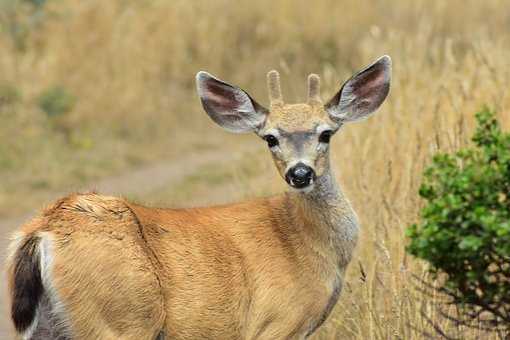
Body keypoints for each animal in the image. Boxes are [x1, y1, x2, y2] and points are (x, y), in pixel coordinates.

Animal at [5, 54, 390, 338]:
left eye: (325, 133)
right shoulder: (275, 323)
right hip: (120, 317)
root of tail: (42, 231)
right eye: (270, 138)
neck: (308, 242)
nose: (300, 173)